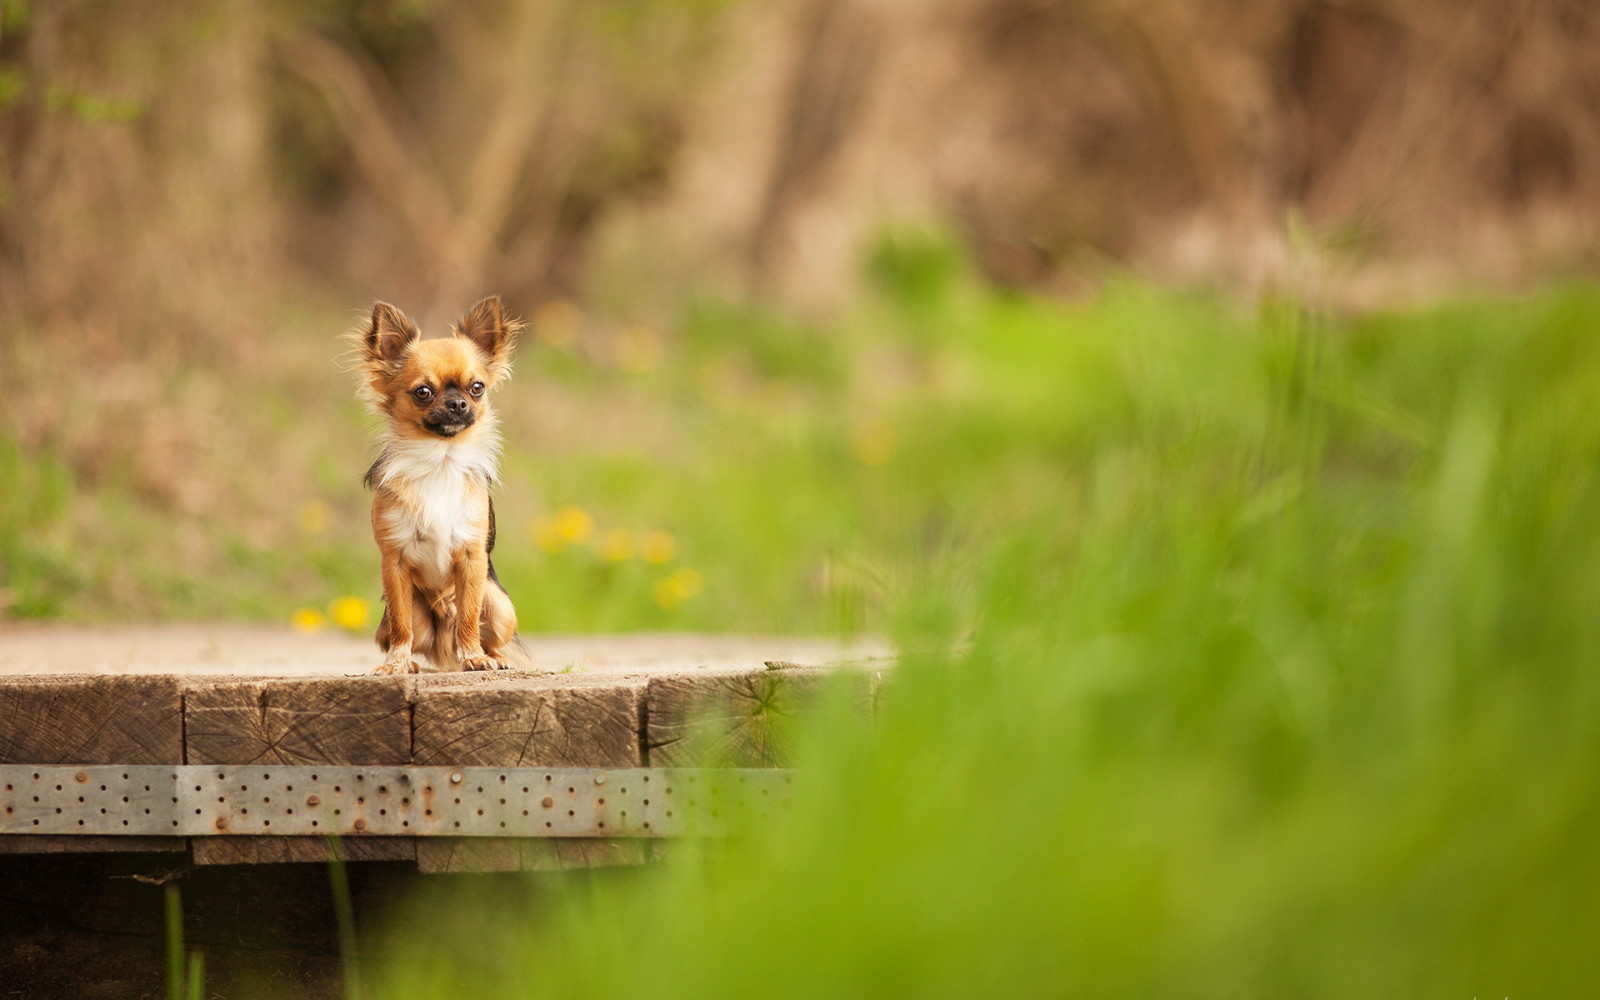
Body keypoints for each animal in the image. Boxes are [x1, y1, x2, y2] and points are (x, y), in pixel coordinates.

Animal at [352, 292, 531, 675]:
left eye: (477, 388)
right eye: (423, 392)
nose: (458, 403)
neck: (440, 460)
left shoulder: (473, 559)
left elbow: (468, 617)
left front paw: (475, 657)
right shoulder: (394, 563)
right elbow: (401, 628)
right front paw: (396, 665)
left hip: (501, 606)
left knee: (484, 631)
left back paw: (491, 659)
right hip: (403, 618)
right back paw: (417, 665)